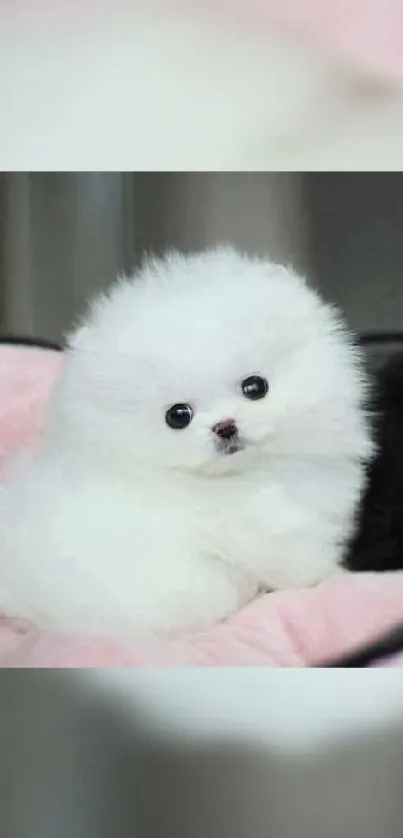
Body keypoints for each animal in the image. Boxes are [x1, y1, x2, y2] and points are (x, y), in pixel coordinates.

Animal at [0, 249, 374, 636]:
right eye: (178, 415)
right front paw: (335, 575)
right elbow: (299, 563)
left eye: (255, 386)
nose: (225, 426)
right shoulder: (270, 534)